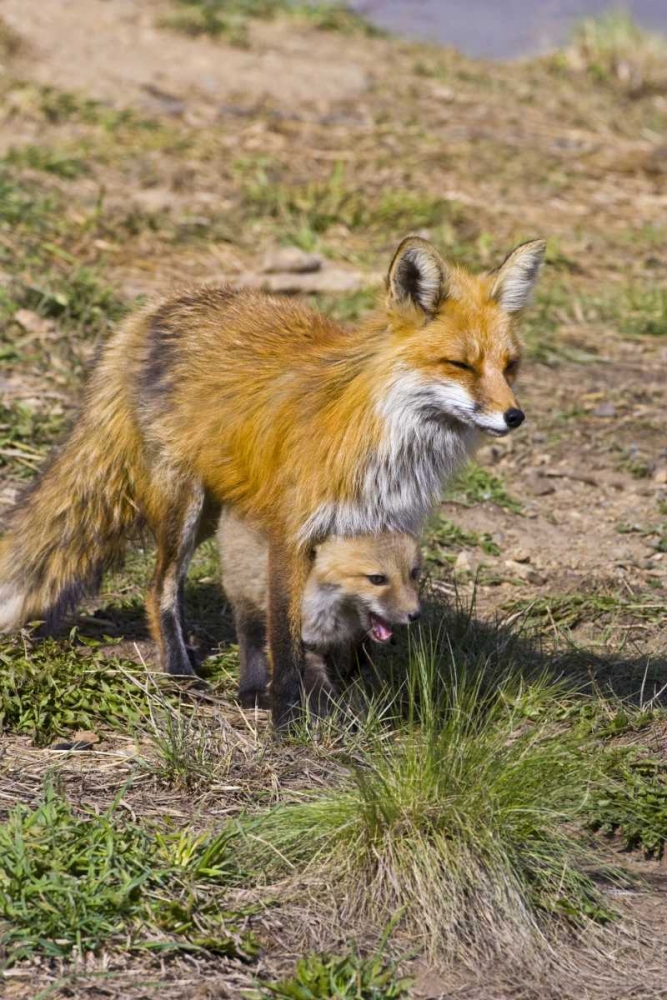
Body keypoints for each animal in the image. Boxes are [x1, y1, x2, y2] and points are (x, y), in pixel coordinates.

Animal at [217, 508, 421, 708]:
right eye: (377, 579)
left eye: (414, 573)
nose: (415, 615)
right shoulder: (305, 641)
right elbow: (322, 693)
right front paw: (337, 715)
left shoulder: (350, 637)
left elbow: (361, 662)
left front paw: (360, 687)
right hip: (246, 601)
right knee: (251, 642)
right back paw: (252, 691)